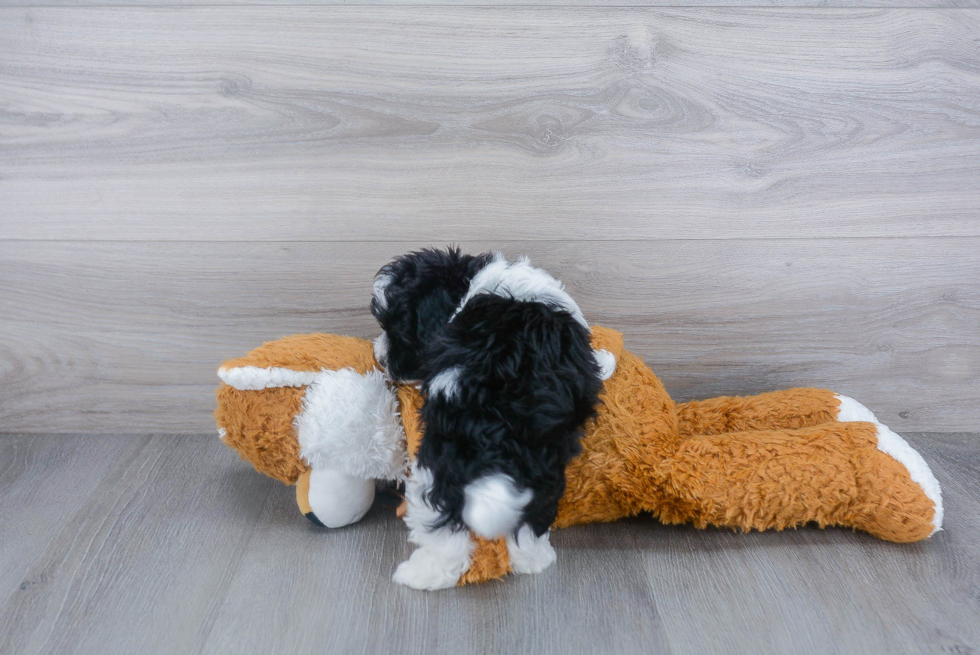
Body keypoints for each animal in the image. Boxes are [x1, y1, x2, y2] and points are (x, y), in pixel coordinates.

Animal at [372, 249, 616, 592]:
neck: (469, 282)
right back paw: (532, 560)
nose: (380, 358)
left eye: (397, 330)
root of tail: (492, 424)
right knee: (529, 516)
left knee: (440, 514)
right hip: (537, 461)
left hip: (440, 458)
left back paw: (424, 573)